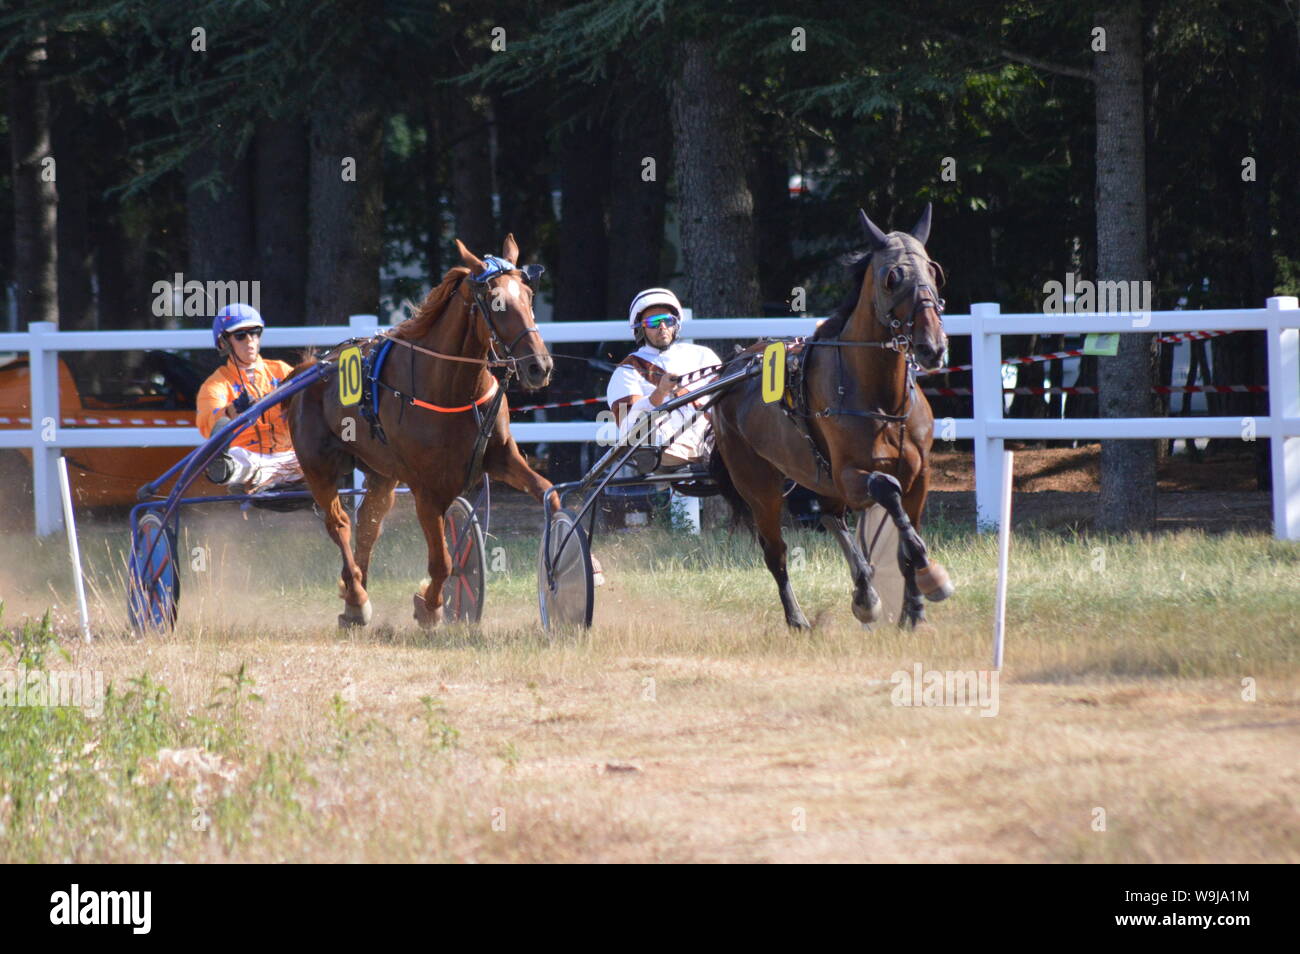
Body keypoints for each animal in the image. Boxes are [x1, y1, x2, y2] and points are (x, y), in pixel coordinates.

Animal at [286, 235, 557, 628]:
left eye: (529, 295)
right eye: (496, 302)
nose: (539, 366)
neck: (452, 388)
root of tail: (310, 368)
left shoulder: (502, 458)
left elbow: (548, 492)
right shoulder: (427, 491)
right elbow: (443, 561)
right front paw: (429, 606)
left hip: (381, 473)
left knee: (368, 525)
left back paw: (354, 596)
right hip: (317, 466)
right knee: (339, 524)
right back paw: (357, 597)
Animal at [709, 205, 955, 629]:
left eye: (933, 271)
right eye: (891, 278)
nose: (932, 347)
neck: (883, 401)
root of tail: (733, 367)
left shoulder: (920, 475)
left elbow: (906, 540)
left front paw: (914, 612)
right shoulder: (851, 476)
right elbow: (887, 490)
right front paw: (933, 577)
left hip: (816, 476)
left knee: (828, 516)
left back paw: (864, 594)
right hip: (759, 484)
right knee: (775, 551)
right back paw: (797, 619)